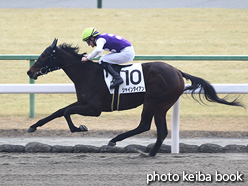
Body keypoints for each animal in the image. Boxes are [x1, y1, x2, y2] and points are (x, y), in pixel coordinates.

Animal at [27, 38, 242, 156]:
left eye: (45, 55)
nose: (30, 72)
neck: (86, 73)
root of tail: (177, 71)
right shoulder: (83, 102)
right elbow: (59, 111)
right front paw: (33, 126)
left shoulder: (94, 109)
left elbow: (67, 112)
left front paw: (80, 128)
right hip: (162, 105)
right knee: (161, 131)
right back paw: (150, 154)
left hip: (154, 101)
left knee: (145, 126)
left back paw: (115, 140)